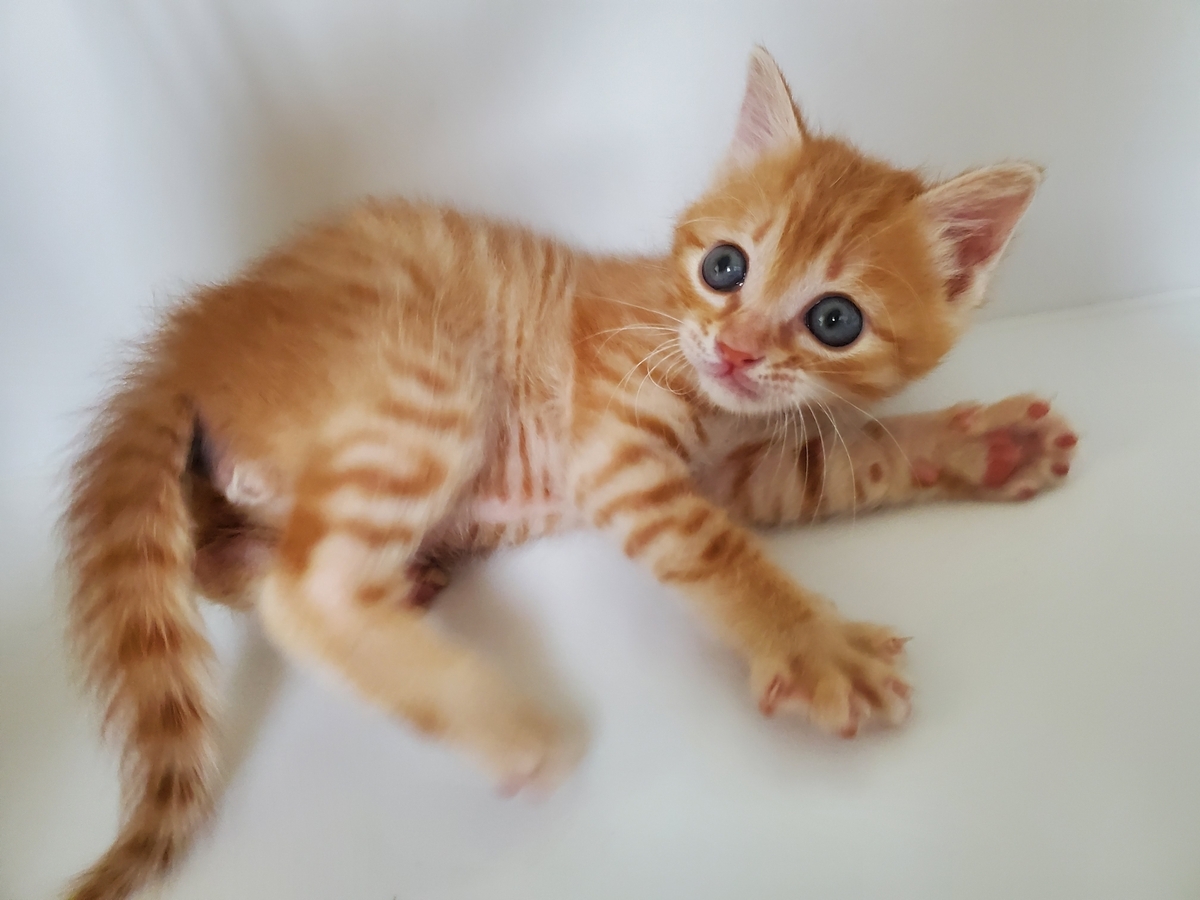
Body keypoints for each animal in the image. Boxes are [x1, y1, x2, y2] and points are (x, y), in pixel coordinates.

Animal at [62, 47, 1077, 900]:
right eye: (725, 266)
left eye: (835, 319)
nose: (736, 350)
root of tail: (189, 336)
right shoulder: (616, 445)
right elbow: (718, 551)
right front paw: (812, 644)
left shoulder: (751, 470)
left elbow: (853, 458)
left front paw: (987, 445)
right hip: (422, 376)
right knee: (303, 591)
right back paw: (509, 729)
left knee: (228, 560)